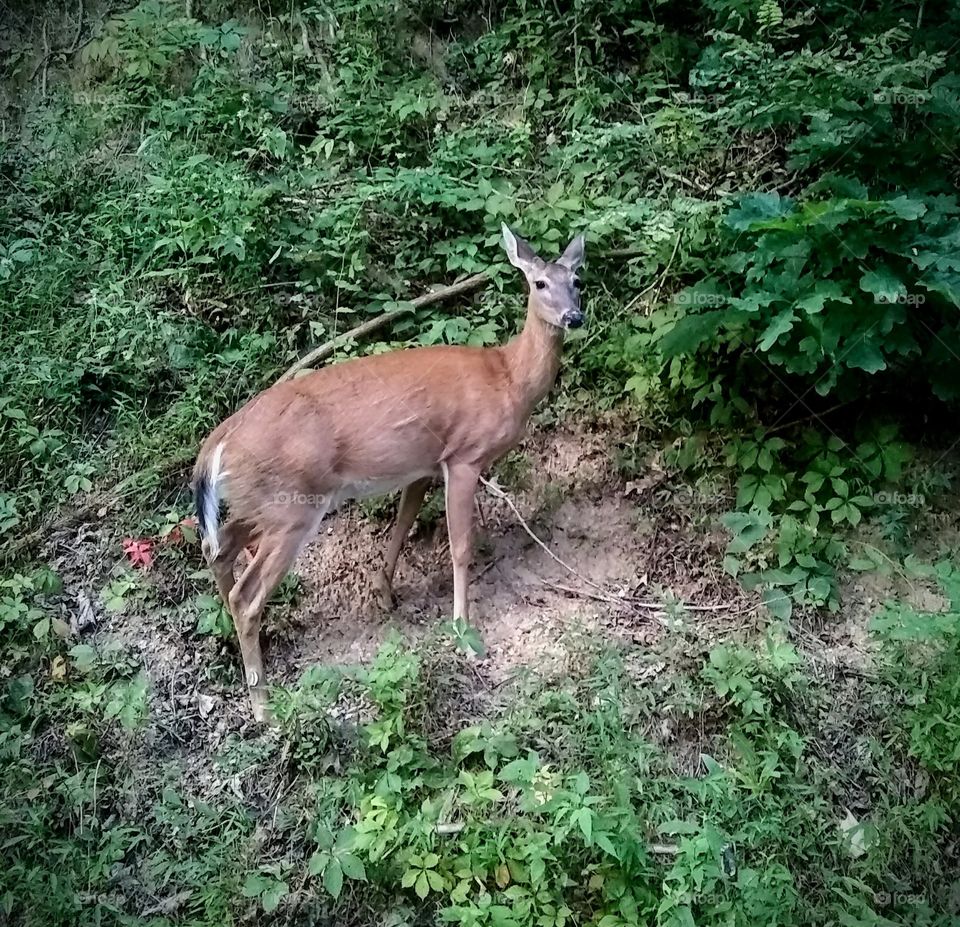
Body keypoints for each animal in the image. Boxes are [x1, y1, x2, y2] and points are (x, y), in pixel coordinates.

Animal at [192, 224, 586, 721]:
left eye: (577, 280)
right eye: (539, 283)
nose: (574, 316)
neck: (508, 378)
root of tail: (215, 445)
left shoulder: (422, 465)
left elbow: (402, 521)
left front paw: (384, 592)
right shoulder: (464, 456)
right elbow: (460, 547)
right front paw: (465, 634)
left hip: (260, 502)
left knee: (216, 548)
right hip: (291, 506)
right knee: (246, 595)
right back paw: (263, 706)